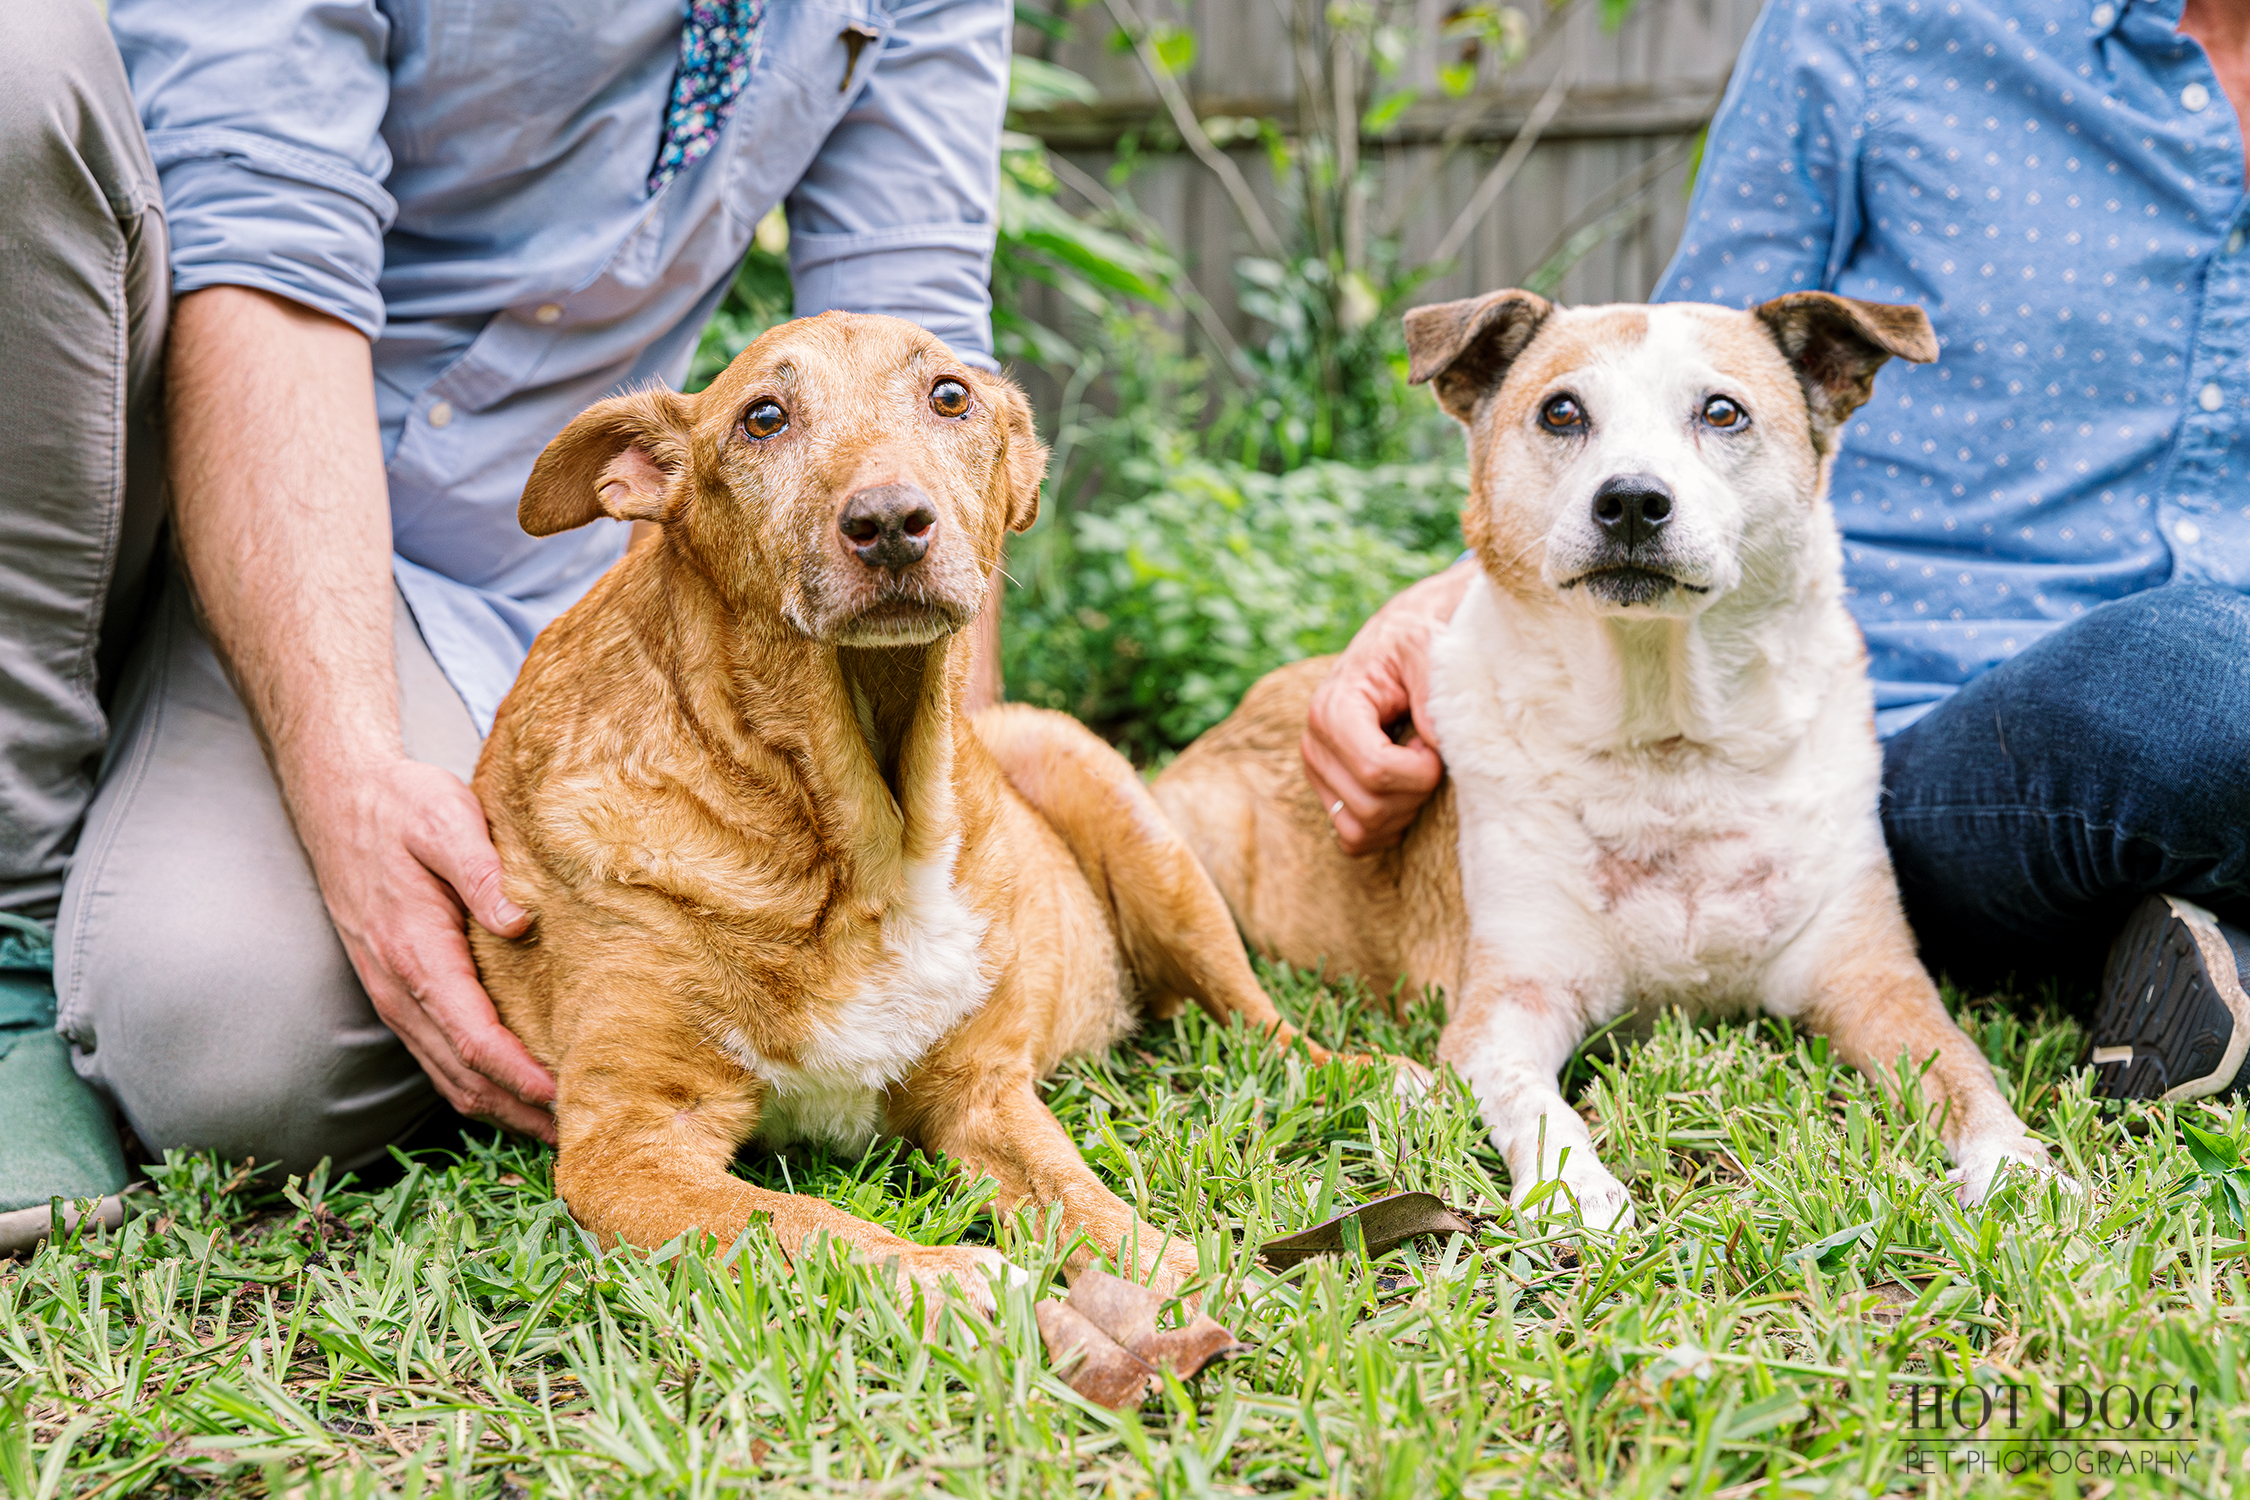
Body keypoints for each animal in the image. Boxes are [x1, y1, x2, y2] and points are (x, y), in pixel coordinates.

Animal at [470, 314, 1350, 1304]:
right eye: (762, 417)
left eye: (951, 396)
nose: (890, 521)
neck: (860, 840)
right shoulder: (628, 1141)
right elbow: (811, 1229)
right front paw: (957, 1281)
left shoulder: (982, 1092)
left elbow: (1087, 1200)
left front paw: (1185, 1276)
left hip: (1128, 820)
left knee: (1257, 1017)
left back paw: (1378, 1072)